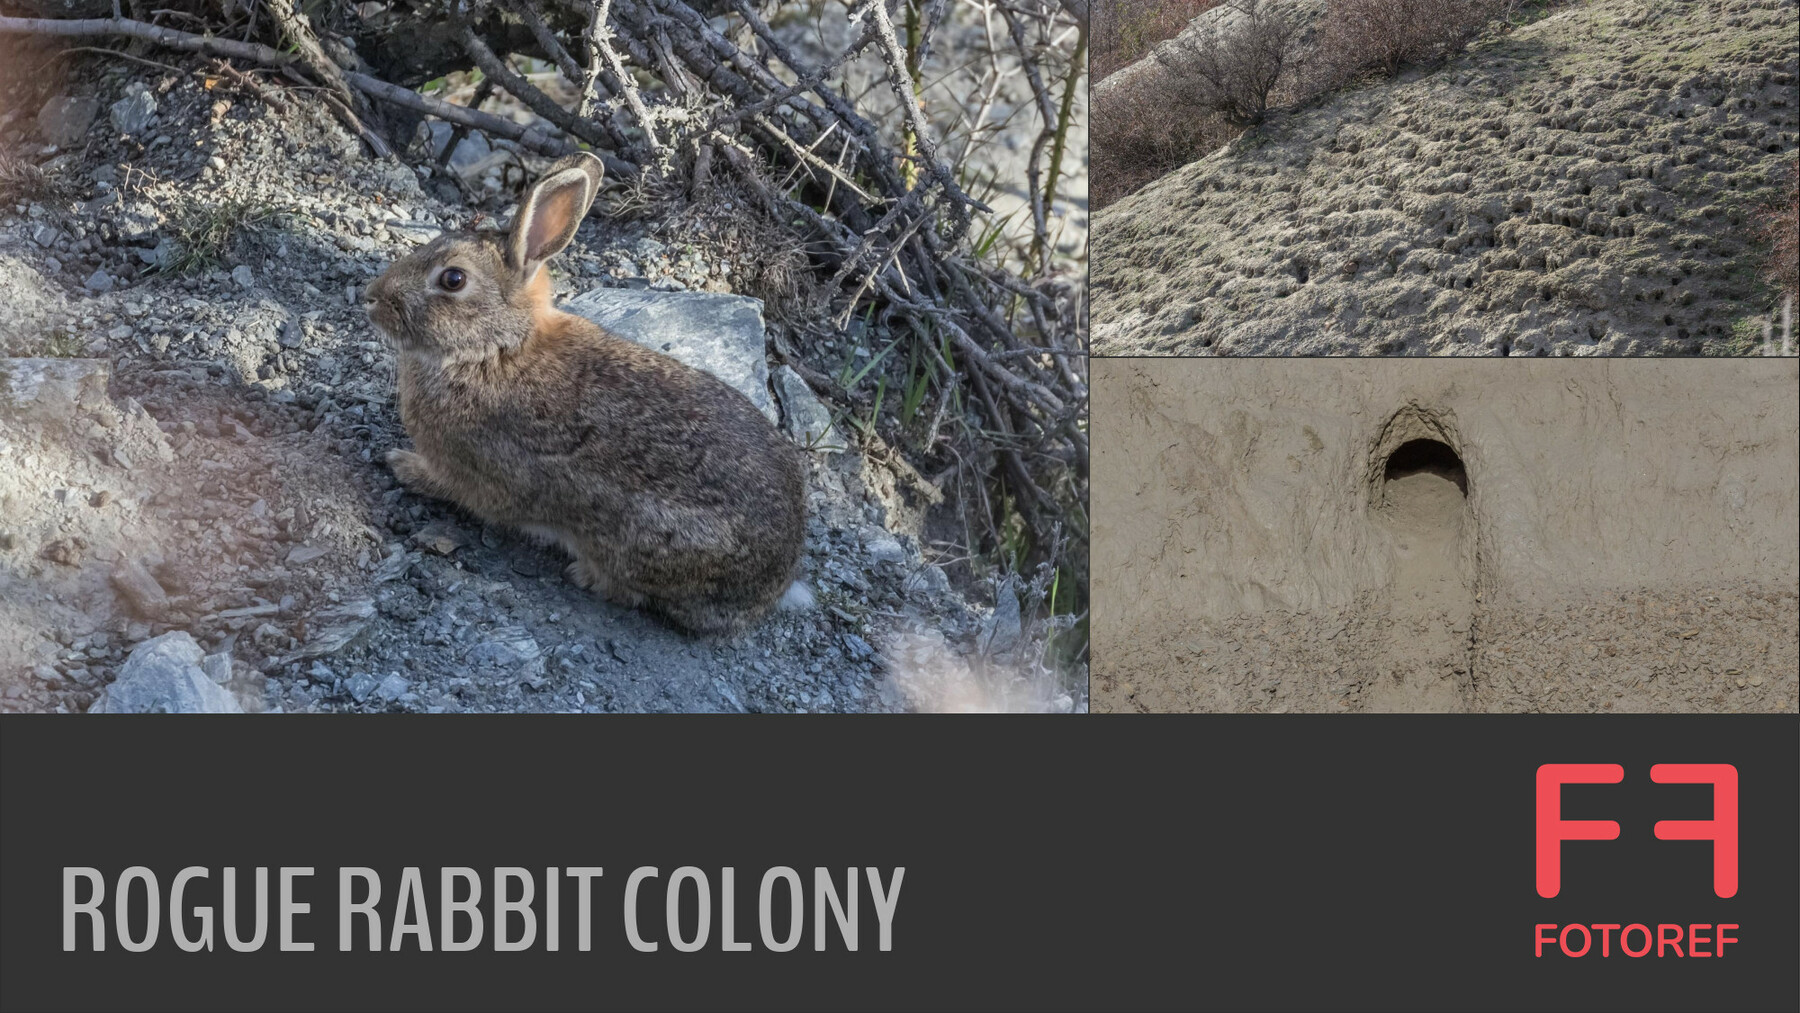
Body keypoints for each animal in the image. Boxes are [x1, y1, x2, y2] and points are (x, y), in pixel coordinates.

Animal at [364, 152, 808, 636]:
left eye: (453, 279)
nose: (372, 297)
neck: (494, 349)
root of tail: (776, 584)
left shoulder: (469, 472)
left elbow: (449, 486)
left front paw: (402, 464)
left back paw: (584, 575)